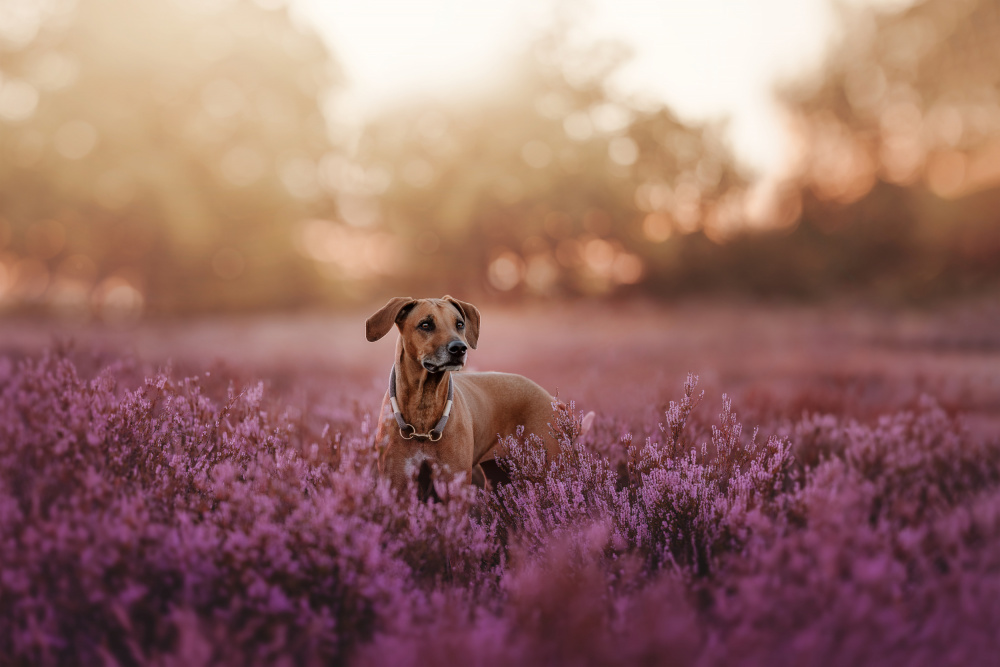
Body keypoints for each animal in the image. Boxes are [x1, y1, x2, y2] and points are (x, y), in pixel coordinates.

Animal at [368, 294, 568, 494]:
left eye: (459, 324)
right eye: (425, 325)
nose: (459, 348)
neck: (424, 403)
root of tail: (550, 398)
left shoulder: (455, 485)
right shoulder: (397, 484)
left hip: (549, 470)